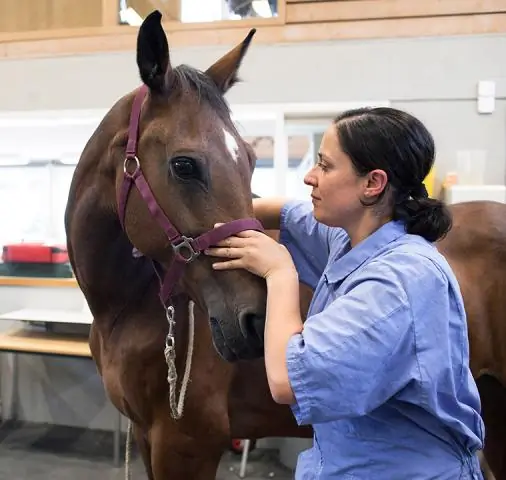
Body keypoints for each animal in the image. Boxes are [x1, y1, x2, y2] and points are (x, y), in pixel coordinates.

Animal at [64, 7, 506, 480]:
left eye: (250, 160)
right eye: (183, 165)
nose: (258, 322)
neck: (126, 308)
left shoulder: (186, 444)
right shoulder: (150, 441)